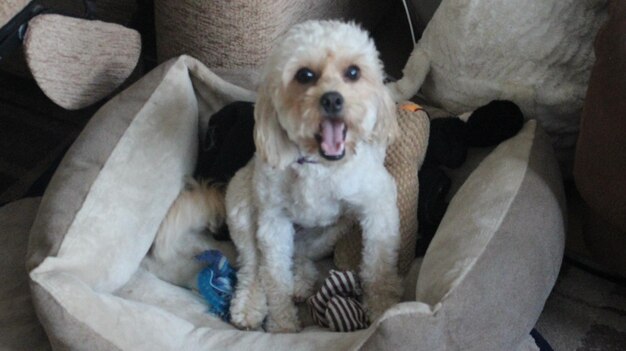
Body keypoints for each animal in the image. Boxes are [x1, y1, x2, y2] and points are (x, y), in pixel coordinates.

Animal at [144, 19, 402, 332]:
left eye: (353, 72)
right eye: (305, 75)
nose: (332, 99)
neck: (318, 165)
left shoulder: (378, 205)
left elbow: (378, 264)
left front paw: (383, 306)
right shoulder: (273, 223)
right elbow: (274, 278)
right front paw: (282, 327)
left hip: (332, 231)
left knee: (300, 254)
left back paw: (302, 281)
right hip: (241, 205)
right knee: (253, 265)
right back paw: (249, 303)